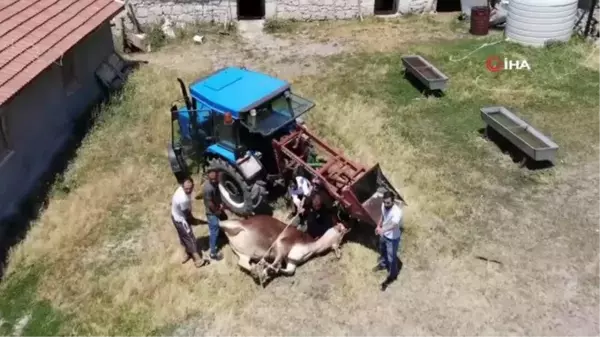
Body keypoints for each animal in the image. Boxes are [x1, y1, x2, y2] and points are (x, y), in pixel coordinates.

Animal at [219, 215, 352, 284]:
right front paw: (265, 270)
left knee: (243, 262)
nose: (348, 228)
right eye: (341, 230)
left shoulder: (291, 261)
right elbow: (276, 262)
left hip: (244, 254)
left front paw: (266, 271)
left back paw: (256, 271)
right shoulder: (282, 244)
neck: (311, 246)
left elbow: (289, 270)